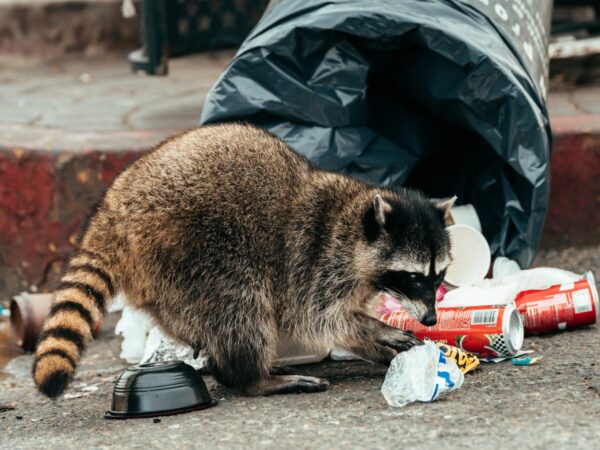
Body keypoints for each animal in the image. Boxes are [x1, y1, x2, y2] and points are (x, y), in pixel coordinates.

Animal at [32, 122, 452, 398]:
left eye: (439, 276)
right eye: (414, 277)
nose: (432, 319)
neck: (353, 219)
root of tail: (113, 211)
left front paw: (375, 340)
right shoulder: (314, 259)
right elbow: (318, 318)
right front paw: (375, 330)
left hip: (163, 277)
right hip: (194, 248)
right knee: (239, 306)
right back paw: (251, 378)